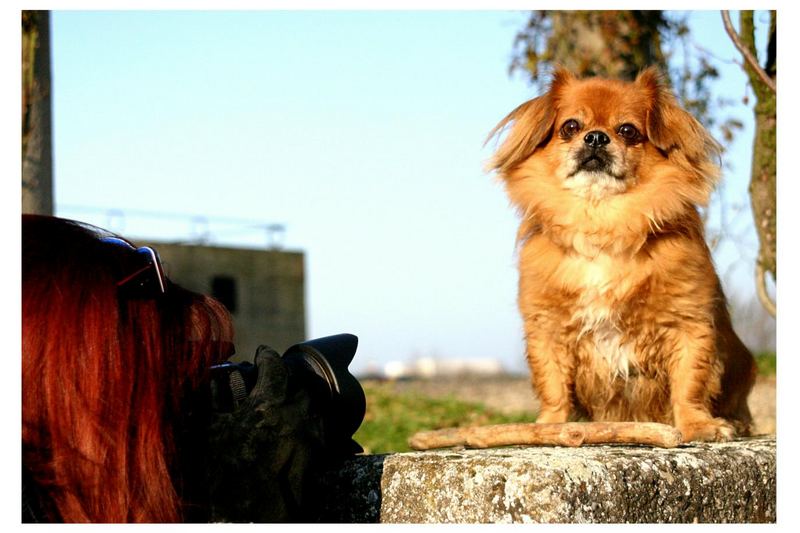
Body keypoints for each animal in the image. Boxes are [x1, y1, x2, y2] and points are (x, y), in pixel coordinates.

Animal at [488, 66, 756, 440]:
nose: (596, 138)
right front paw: (549, 426)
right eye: (570, 127)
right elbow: (553, 386)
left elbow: (690, 381)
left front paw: (698, 425)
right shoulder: (547, 330)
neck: (602, 223)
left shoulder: (688, 323)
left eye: (627, 131)